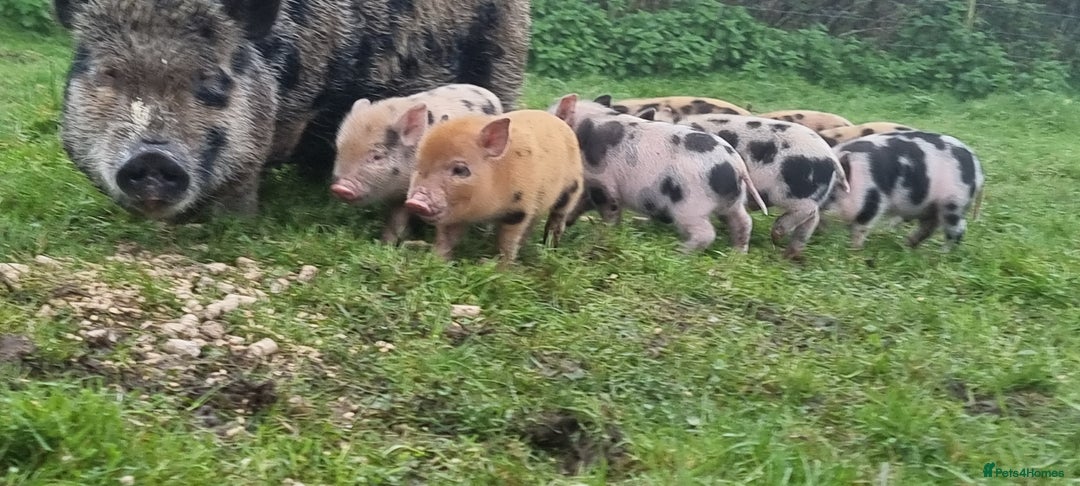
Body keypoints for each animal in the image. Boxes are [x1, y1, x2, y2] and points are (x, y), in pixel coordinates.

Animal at [404, 111, 584, 266]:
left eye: (460, 170)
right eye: (417, 166)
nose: (415, 202)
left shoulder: (519, 210)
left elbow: (507, 243)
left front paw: (498, 268)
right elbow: (446, 238)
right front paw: (438, 261)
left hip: (572, 189)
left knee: (557, 220)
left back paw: (550, 248)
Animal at [549, 94, 768, 254]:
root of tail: (737, 164)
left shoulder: (602, 181)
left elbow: (609, 209)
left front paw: (605, 232)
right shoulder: (590, 184)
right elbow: (580, 204)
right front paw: (570, 222)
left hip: (690, 205)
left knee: (706, 233)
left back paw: (680, 251)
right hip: (732, 202)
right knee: (744, 222)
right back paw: (737, 254)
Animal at [667, 114, 850, 260]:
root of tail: (831, 157)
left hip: (792, 190)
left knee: (807, 210)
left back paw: (776, 234)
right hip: (812, 193)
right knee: (812, 219)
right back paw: (789, 254)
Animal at [824, 131, 986, 250]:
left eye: (830, 195)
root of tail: (979, 171)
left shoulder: (873, 201)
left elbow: (860, 228)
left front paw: (854, 249)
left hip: (954, 202)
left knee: (958, 229)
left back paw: (941, 255)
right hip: (931, 206)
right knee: (929, 226)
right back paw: (907, 245)